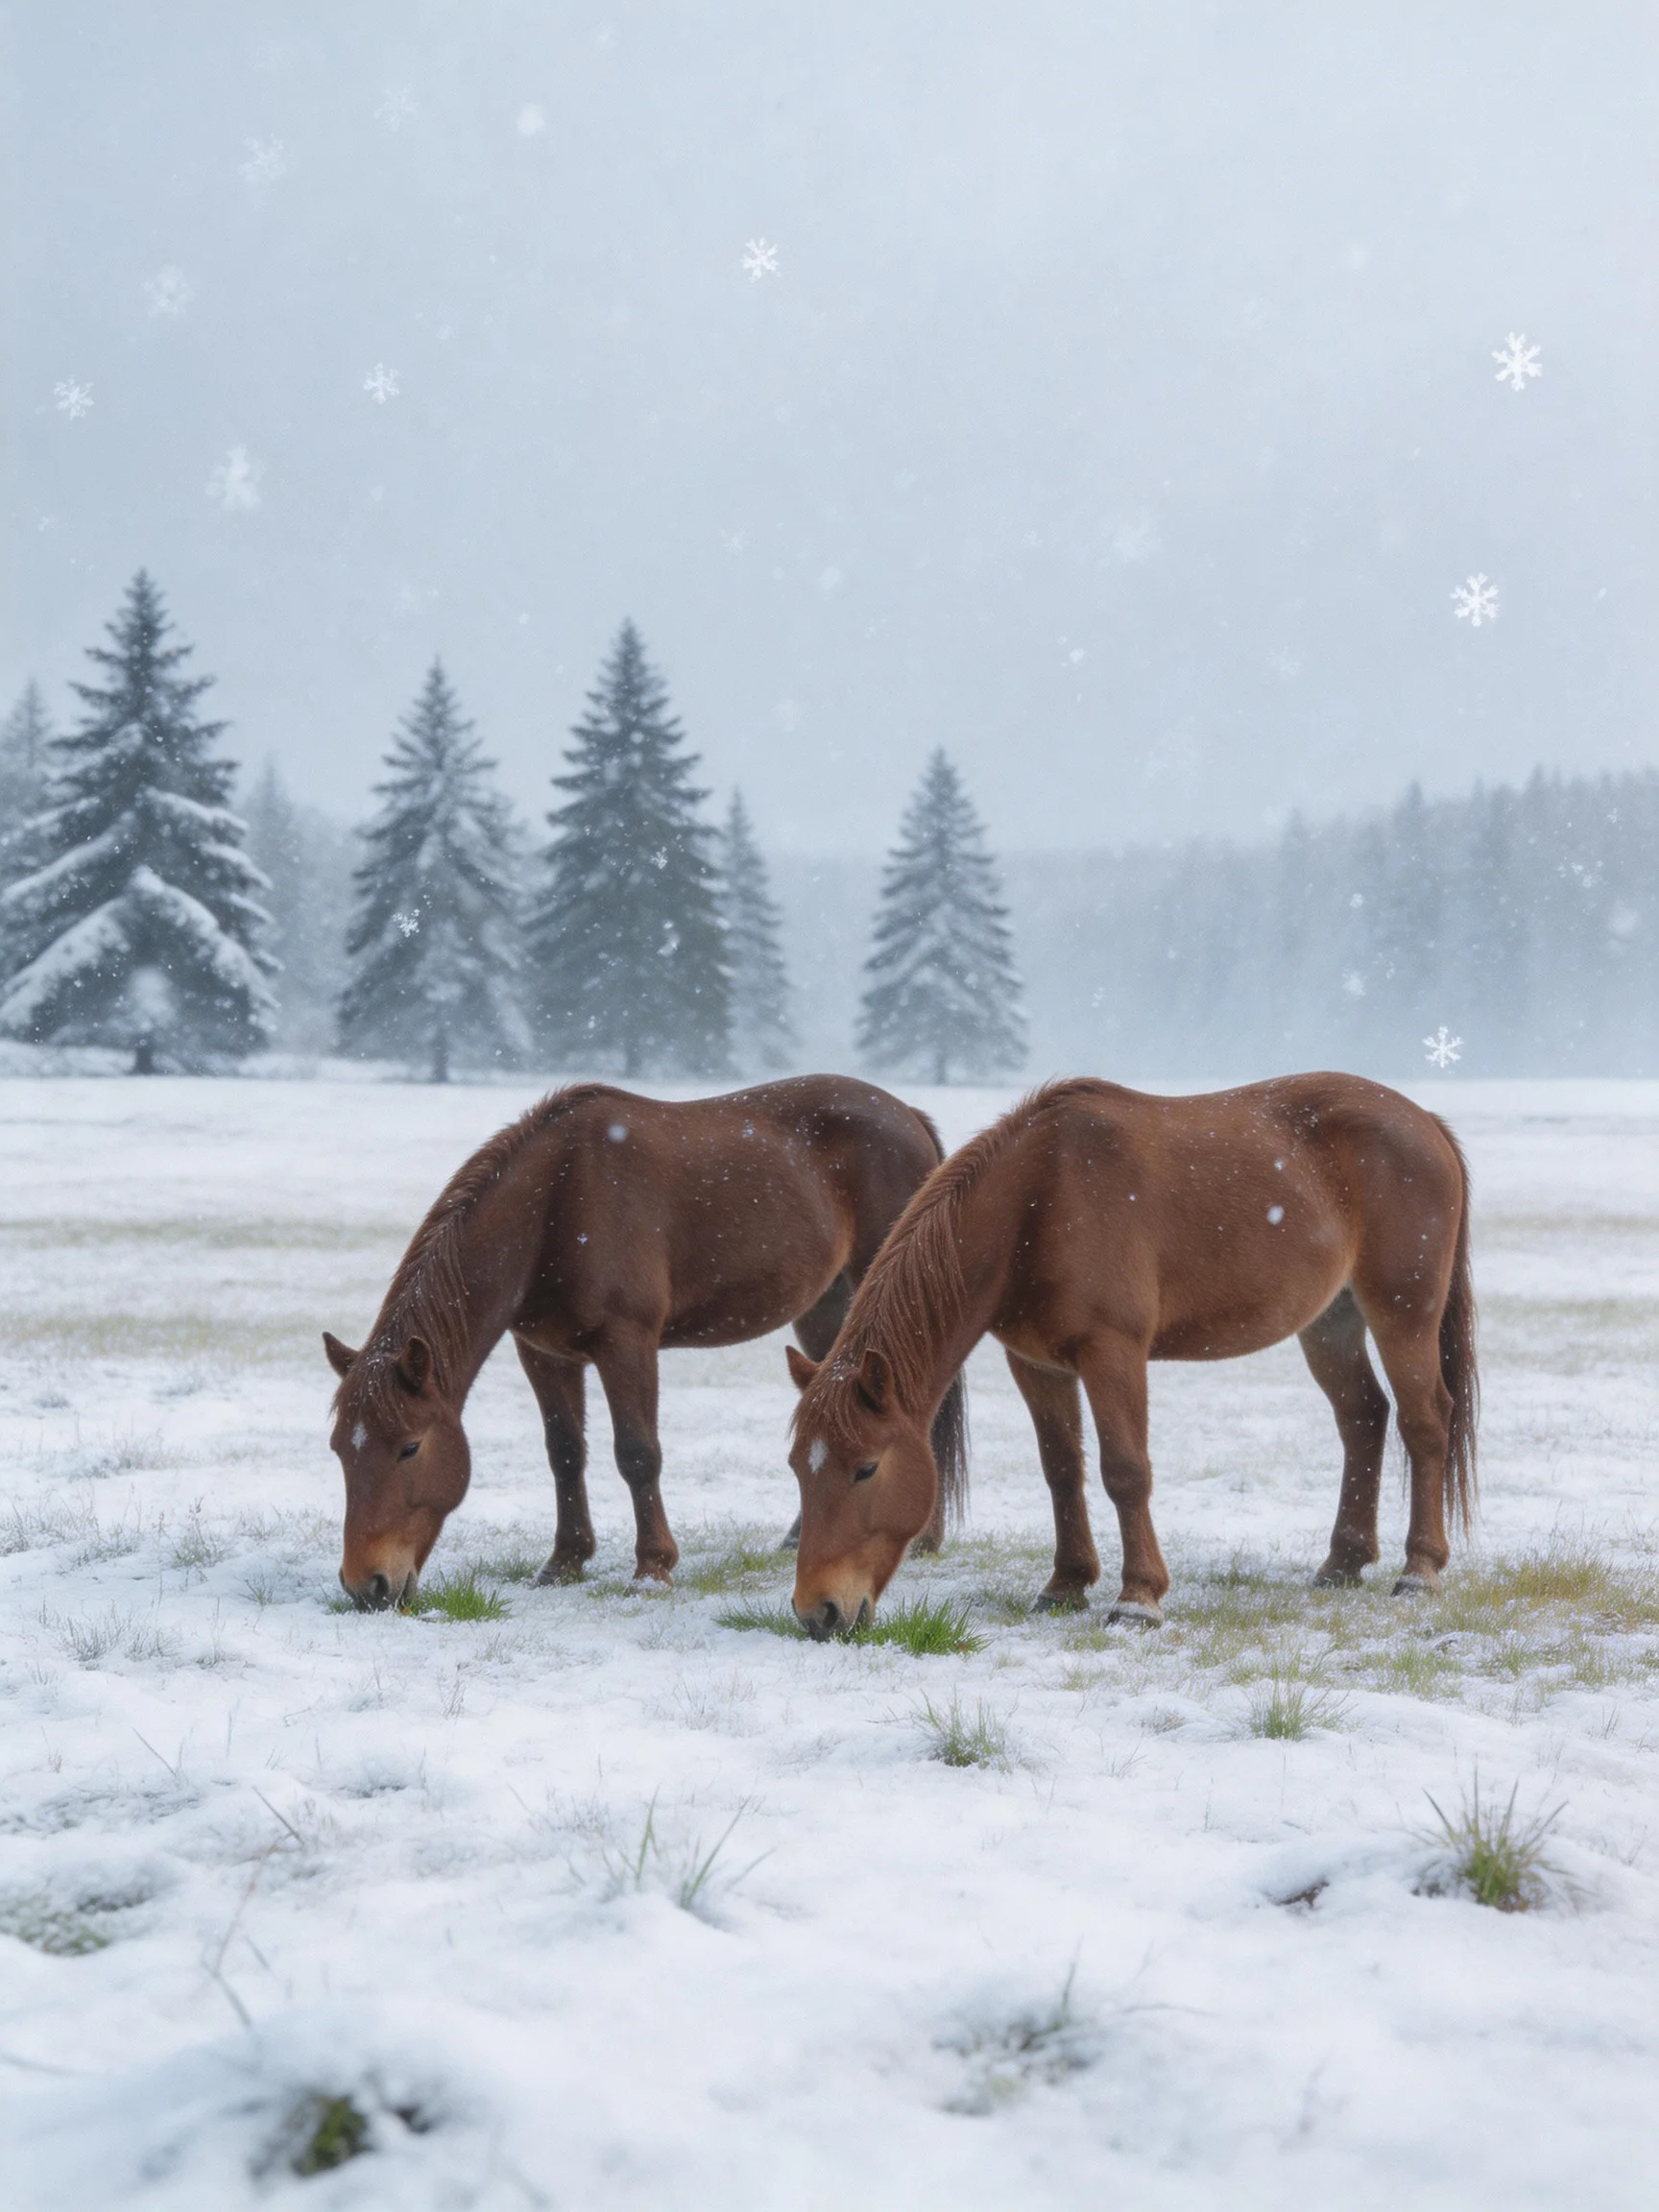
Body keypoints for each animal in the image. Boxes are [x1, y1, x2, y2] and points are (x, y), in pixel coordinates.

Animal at [324, 1077, 969, 1609]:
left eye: (409, 1447)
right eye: (338, 1450)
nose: (366, 1585)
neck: (556, 1198)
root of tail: (908, 1114)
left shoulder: (626, 1343)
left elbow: (637, 1454)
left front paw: (653, 1569)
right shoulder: (544, 1353)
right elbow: (565, 1451)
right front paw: (564, 1562)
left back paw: (924, 1536)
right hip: (827, 1307)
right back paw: (798, 1534)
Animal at [785, 1073, 1476, 1638]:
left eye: (866, 1468)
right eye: (797, 1467)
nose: (818, 1613)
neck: (1039, 1198)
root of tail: (1425, 1121)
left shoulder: (1112, 1352)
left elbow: (1124, 1470)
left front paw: (1137, 1599)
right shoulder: (1036, 1365)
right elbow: (1061, 1469)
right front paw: (1065, 1584)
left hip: (1402, 1312)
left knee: (1424, 1423)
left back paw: (1420, 1570)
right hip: (1331, 1324)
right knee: (1363, 1416)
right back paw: (1343, 1561)